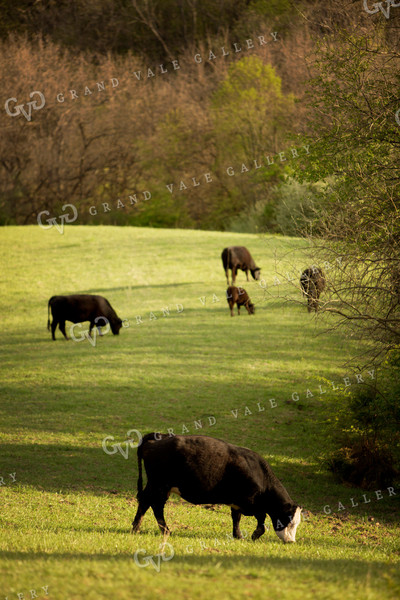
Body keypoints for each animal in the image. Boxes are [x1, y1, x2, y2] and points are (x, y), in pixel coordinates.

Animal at [133, 432, 302, 544]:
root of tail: (160, 436)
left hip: (156, 486)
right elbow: (261, 518)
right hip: (159, 486)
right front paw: (254, 535)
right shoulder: (249, 502)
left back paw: (137, 528)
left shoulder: (237, 502)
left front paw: (238, 536)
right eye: (290, 522)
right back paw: (163, 530)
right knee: (154, 505)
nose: (291, 541)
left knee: (145, 503)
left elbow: (236, 518)